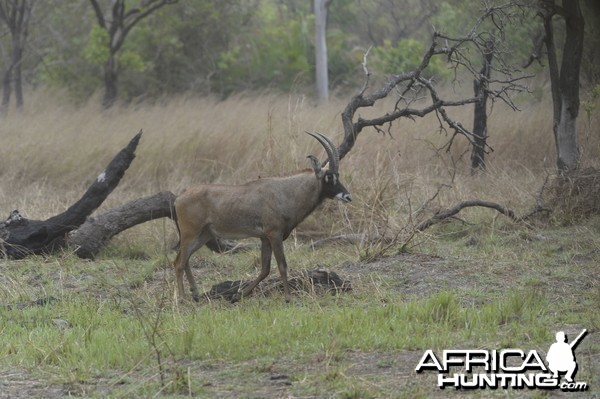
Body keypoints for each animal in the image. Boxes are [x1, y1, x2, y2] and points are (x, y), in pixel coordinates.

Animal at [172, 132, 352, 304]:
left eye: (337, 175)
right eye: (329, 177)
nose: (347, 197)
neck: (285, 193)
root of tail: (178, 199)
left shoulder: (265, 238)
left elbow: (265, 269)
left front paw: (237, 296)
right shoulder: (274, 235)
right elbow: (282, 265)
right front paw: (288, 298)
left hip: (204, 235)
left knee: (185, 259)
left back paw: (195, 295)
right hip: (191, 234)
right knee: (179, 262)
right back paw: (182, 299)